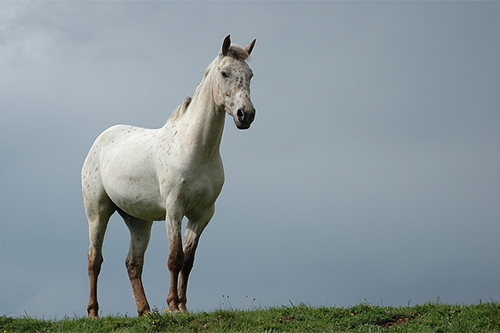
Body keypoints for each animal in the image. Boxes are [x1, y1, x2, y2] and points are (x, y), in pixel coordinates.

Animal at [81, 35, 256, 318]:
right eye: (224, 73)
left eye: (250, 75)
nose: (246, 115)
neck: (196, 150)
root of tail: (100, 141)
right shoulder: (174, 209)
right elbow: (175, 258)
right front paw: (173, 305)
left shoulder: (202, 214)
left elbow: (188, 260)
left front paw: (183, 305)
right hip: (97, 213)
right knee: (94, 260)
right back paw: (93, 313)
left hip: (139, 222)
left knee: (133, 264)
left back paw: (145, 311)